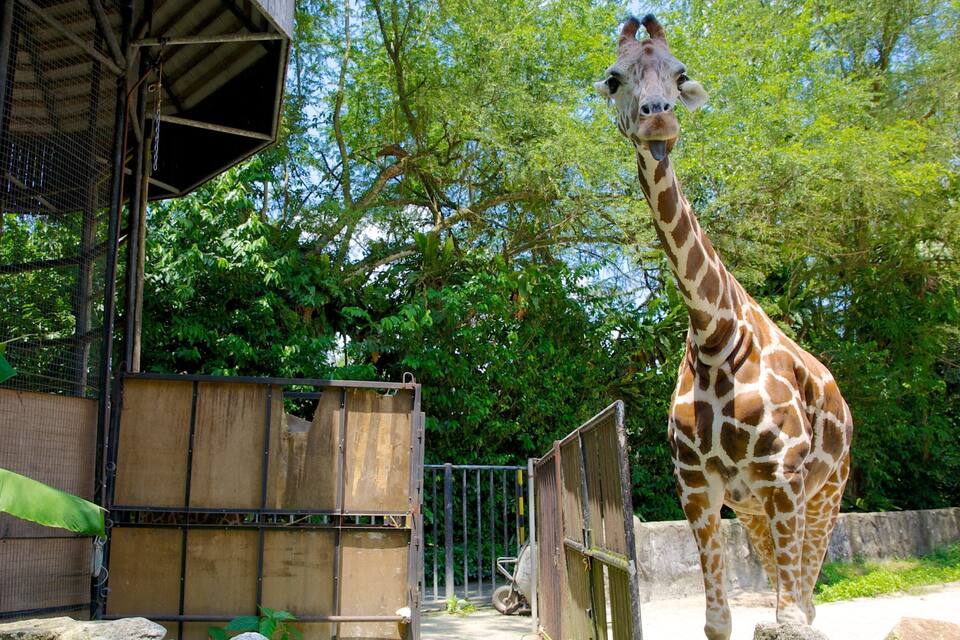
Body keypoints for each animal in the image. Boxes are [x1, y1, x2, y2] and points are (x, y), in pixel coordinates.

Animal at [595, 16, 853, 640]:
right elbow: (718, 622)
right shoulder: (698, 488)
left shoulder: (783, 479)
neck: (716, 337)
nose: (659, 117)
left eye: (680, 71)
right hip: (756, 509)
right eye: (614, 78)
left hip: (825, 493)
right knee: (793, 597)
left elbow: (790, 620)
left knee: (806, 604)